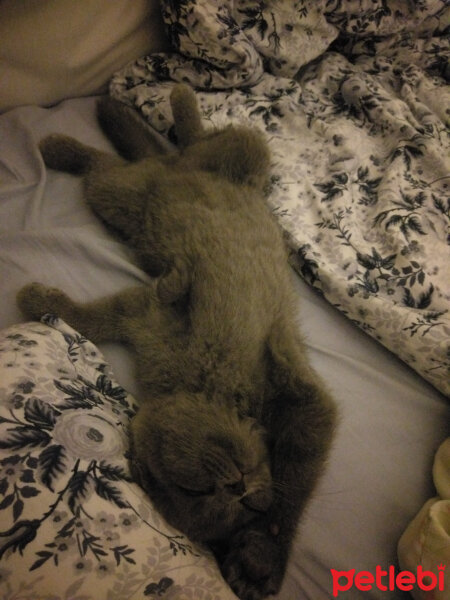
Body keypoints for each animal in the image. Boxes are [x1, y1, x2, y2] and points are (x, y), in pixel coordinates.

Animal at [17, 83, 336, 600]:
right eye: (197, 491)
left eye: (236, 502)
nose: (239, 487)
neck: (207, 389)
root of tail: (170, 169)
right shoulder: (146, 315)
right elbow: (95, 315)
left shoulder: (302, 399)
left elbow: (294, 486)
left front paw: (261, 556)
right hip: (145, 191)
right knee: (150, 153)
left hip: (149, 191)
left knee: (150, 156)